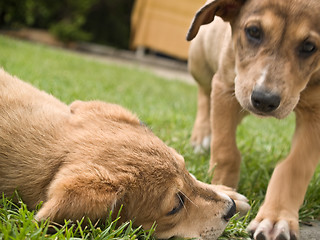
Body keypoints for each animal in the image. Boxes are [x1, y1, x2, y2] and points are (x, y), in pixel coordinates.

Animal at [186, 0, 320, 240]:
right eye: (254, 32)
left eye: (309, 46)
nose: (264, 100)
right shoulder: (225, 87)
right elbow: (226, 151)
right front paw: (221, 191)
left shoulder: (316, 113)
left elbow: (295, 167)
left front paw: (277, 217)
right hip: (200, 61)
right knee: (203, 94)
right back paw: (201, 136)